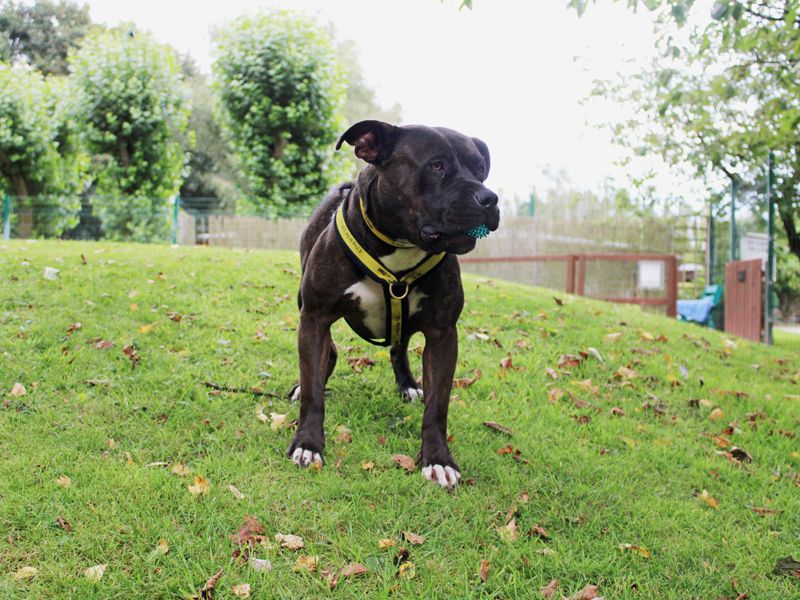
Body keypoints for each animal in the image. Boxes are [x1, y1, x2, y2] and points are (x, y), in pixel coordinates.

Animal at [288, 120, 500, 488]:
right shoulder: (314, 316)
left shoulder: (443, 333)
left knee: (398, 347)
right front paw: (308, 444)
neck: (400, 245)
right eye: (436, 165)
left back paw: (408, 384)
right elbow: (314, 391)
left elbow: (438, 406)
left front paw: (438, 460)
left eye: (480, 170)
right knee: (328, 356)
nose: (489, 198)